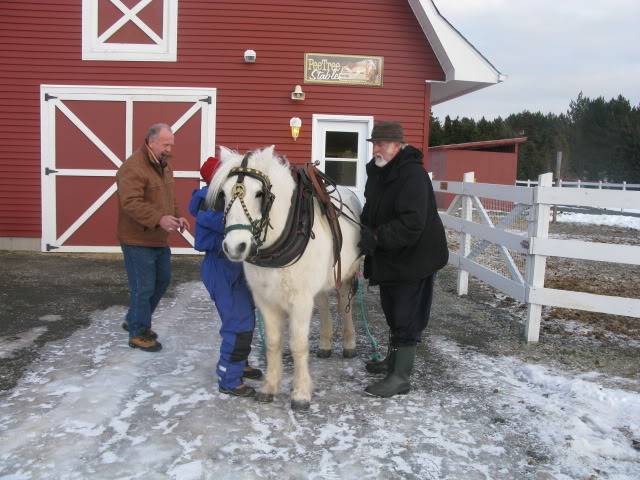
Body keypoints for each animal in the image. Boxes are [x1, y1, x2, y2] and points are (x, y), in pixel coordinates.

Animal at [209, 145, 362, 408]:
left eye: (260, 193)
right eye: (223, 194)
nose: (235, 247)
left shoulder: (300, 300)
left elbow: (298, 344)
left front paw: (300, 394)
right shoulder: (265, 300)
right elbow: (273, 342)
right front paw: (269, 387)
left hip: (346, 274)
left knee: (344, 305)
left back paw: (349, 344)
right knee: (323, 304)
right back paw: (325, 344)